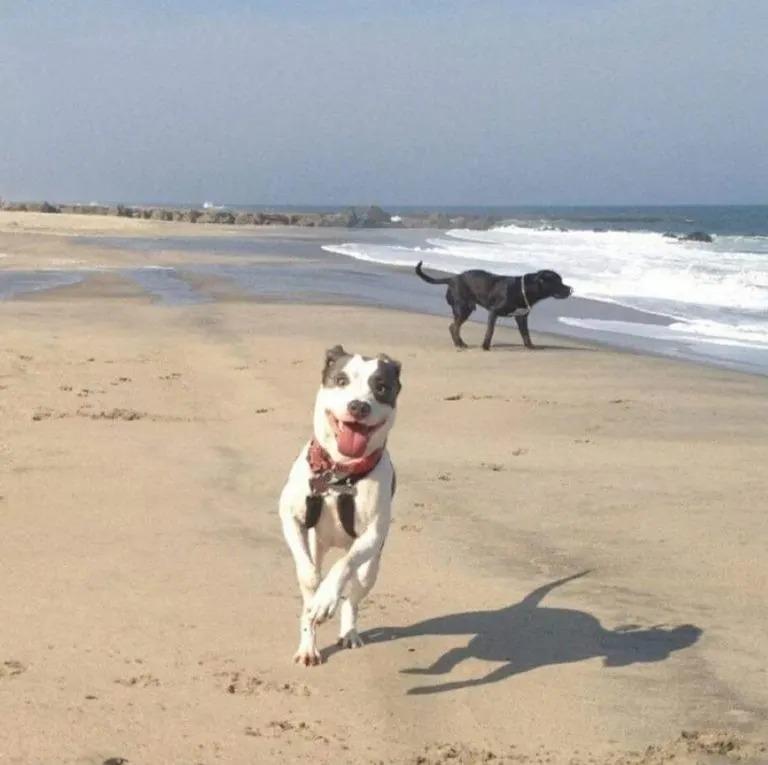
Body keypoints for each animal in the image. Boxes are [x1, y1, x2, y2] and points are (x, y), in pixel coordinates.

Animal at [280, 344, 402, 664]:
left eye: (381, 387)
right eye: (341, 380)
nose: (359, 406)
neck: (339, 472)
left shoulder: (372, 535)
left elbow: (343, 567)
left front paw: (326, 597)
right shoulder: (290, 516)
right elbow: (307, 573)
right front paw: (314, 589)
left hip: (371, 567)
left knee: (354, 594)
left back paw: (349, 632)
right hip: (317, 543)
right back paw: (308, 647)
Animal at [414, 262, 568, 348]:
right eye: (557, 282)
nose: (570, 289)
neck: (522, 289)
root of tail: (452, 278)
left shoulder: (521, 317)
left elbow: (526, 334)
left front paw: (530, 346)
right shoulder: (494, 312)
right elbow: (490, 331)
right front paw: (485, 346)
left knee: (455, 327)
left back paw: (460, 343)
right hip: (463, 308)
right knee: (454, 327)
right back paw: (459, 344)